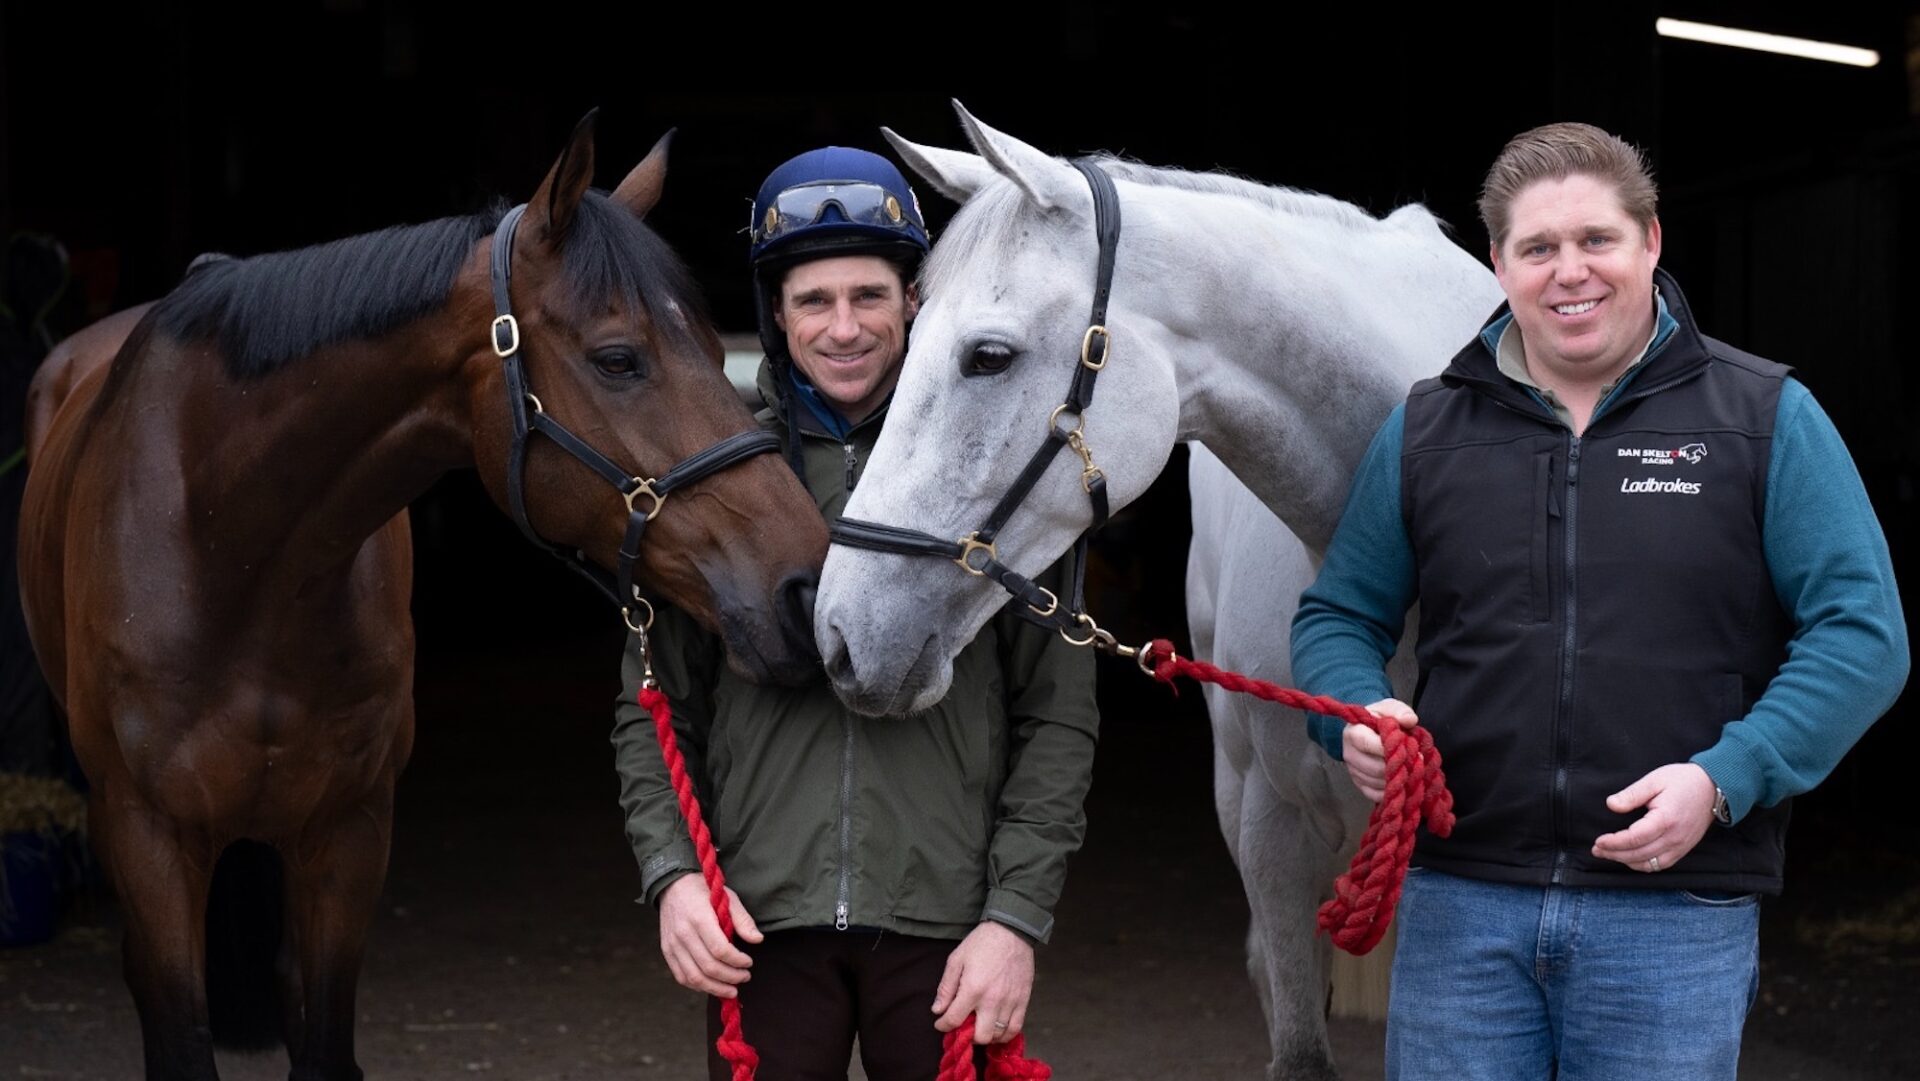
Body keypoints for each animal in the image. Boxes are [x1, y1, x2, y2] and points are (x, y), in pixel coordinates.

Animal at [18, 112, 828, 1081]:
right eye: (618, 358)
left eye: (717, 349)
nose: (807, 586)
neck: (230, 547)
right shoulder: (147, 839)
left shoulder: (350, 831)